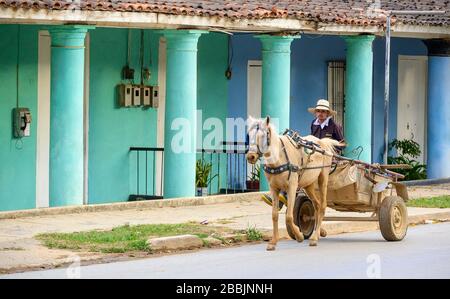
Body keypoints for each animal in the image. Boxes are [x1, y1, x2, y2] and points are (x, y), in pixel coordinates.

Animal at [244, 116, 342, 250]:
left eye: (264, 135)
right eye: (249, 135)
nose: (251, 156)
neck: (279, 158)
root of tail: (322, 143)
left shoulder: (292, 186)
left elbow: (289, 217)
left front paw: (299, 236)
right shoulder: (273, 188)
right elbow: (274, 215)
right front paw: (273, 242)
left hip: (323, 178)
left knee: (322, 206)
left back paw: (314, 238)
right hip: (308, 184)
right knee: (316, 205)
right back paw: (319, 232)